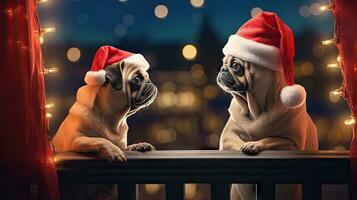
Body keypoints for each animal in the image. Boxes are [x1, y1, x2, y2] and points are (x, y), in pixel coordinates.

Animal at [216, 12, 316, 200]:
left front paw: (253, 144)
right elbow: (234, 141)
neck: (254, 109)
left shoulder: (292, 144)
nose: (222, 69)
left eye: (236, 66)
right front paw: (245, 144)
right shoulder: (226, 136)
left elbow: (271, 139)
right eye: (223, 63)